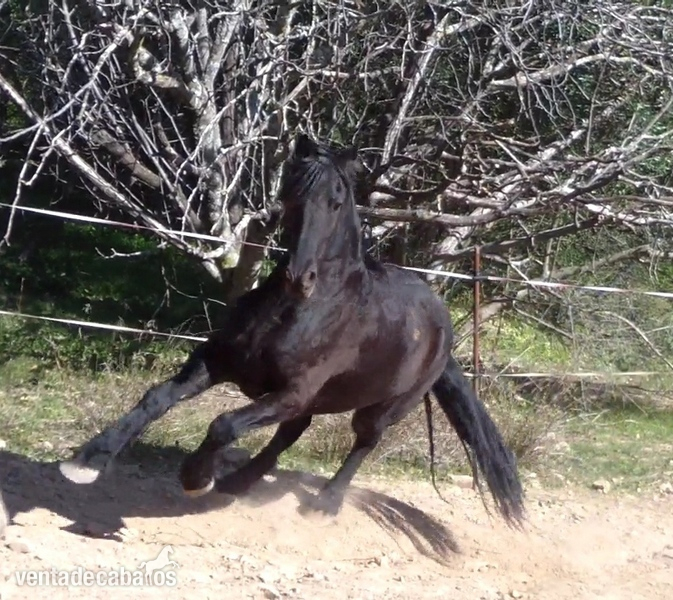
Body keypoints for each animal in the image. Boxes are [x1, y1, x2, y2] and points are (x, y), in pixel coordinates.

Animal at [59, 134, 525, 526]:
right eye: (290, 194)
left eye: (336, 201)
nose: (300, 277)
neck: (299, 309)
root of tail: (442, 324)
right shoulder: (217, 362)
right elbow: (156, 398)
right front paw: (88, 459)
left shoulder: (292, 392)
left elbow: (224, 424)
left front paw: (195, 477)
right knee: (291, 433)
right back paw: (239, 482)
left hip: (386, 406)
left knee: (363, 442)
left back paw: (324, 504)